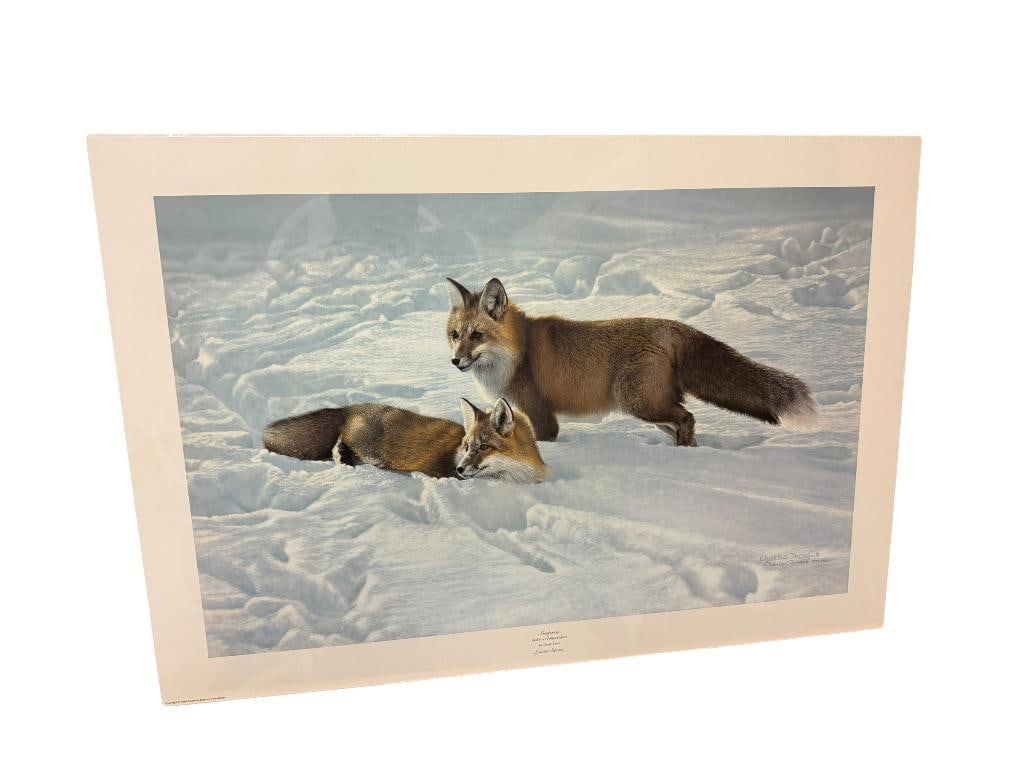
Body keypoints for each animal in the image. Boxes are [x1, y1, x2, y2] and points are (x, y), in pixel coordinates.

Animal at [262, 397, 548, 483]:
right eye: (467, 447)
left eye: (484, 447)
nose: (459, 469)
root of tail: (354, 407)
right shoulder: (435, 470)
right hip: (371, 449)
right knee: (340, 442)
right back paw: (341, 459)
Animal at [444, 277, 819, 446]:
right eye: (455, 334)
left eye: (477, 336)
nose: (455, 360)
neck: (517, 354)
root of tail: (672, 326)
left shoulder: (543, 416)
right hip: (650, 407)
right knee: (684, 422)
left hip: (637, 401)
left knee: (689, 417)